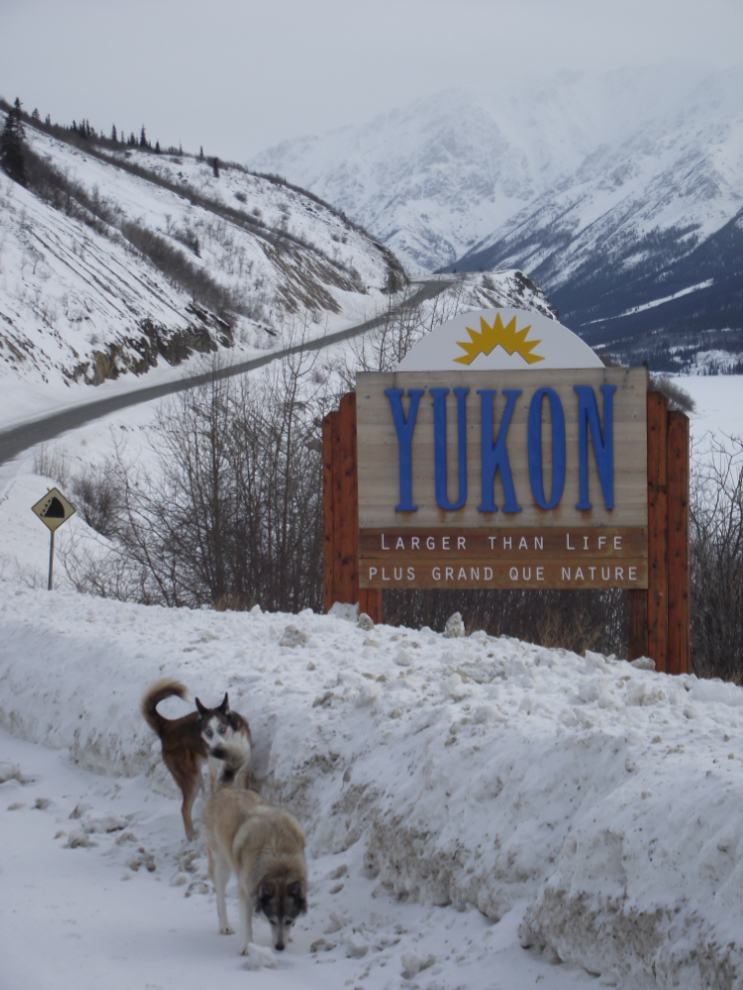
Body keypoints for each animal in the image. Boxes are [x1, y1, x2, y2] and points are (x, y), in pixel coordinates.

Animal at [141, 680, 251, 836]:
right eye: (208, 732)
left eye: (223, 729)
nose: (216, 750)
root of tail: (167, 726)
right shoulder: (216, 774)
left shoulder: (243, 771)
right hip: (192, 779)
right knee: (184, 809)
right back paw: (191, 836)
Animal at [202, 792, 306, 952]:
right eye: (272, 921)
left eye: (289, 921)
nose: (279, 947)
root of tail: (224, 790)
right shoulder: (246, 891)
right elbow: (247, 925)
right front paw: (247, 946)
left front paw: (287, 937)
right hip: (221, 867)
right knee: (220, 898)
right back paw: (225, 926)